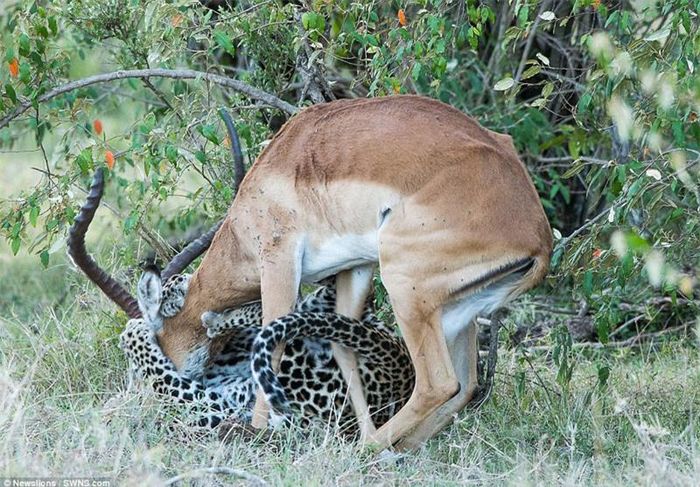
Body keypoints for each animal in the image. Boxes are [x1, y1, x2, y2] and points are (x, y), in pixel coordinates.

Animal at [69, 95, 552, 450]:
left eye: (147, 340)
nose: (130, 401)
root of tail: (538, 234)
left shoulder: (279, 263)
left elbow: (270, 345)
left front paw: (258, 432)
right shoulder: (355, 269)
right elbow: (343, 349)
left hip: (405, 287)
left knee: (438, 384)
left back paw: (363, 452)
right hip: (455, 312)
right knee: (466, 385)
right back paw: (391, 448)